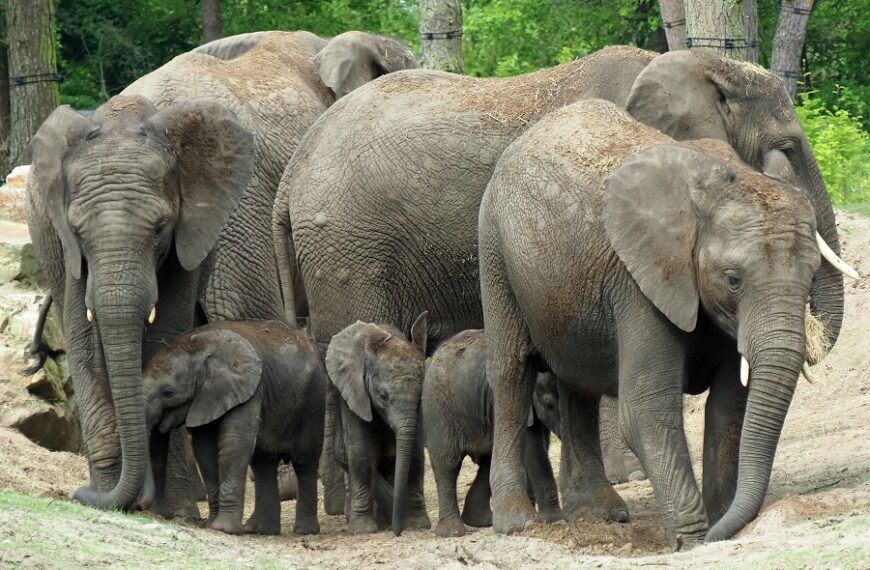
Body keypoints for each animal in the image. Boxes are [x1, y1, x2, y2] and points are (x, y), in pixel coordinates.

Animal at [144, 322, 328, 536]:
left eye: (168, 393)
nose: (163, 515)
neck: (199, 346)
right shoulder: (205, 397)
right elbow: (204, 449)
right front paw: (212, 525)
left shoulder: (248, 389)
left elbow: (235, 443)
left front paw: (224, 529)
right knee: (263, 463)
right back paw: (260, 529)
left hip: (313, 401)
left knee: (304, 461)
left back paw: (304, 531)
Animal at [328, 312, 432, 536]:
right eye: (383, 396)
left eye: (420, 395)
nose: (398, 531)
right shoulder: (354, 395)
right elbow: (361, 455)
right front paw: (363, 530)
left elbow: (415, 456)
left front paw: (418, 525)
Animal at [424, 328, 564, 536]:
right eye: (549, 405)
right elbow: (533, 450)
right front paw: (554, 520)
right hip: (438, 408)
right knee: (447, 462)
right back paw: (452, 532)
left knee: (486, 461)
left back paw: (482, 521)